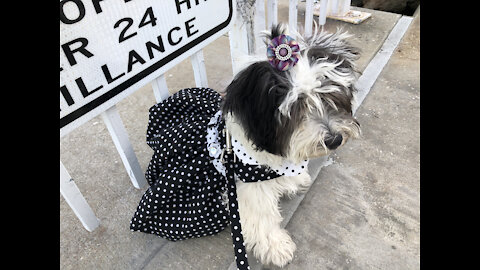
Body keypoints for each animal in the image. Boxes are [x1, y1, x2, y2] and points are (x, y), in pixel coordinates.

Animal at [223, 23, 362, 268]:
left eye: (329, 96)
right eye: (297, 107)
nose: (334, 140)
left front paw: (296, 179)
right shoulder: (248, 183)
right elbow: (262, 214)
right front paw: (275, 246)